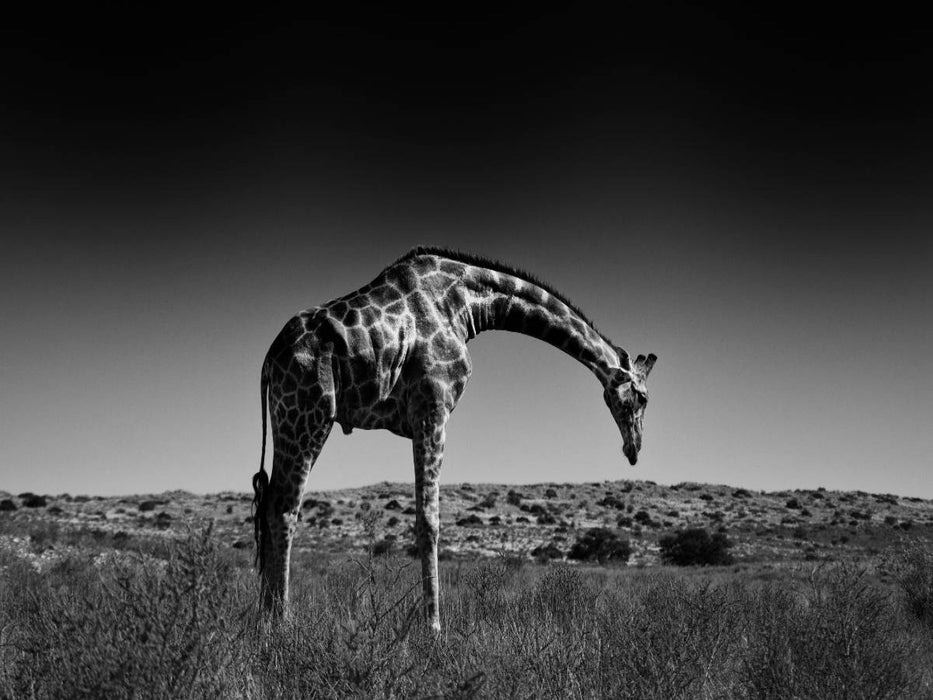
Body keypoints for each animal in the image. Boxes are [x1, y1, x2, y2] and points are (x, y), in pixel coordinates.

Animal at [252, 246, 657, 631]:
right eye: (642, 397)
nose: (634, 449)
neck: (467, 305)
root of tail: (269, 359)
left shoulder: (424, 415)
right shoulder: (433, 408)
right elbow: (429, 521)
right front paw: (433, 627)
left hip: (286, 419)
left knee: (268, 501)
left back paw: (265, 620)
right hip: (309, 415)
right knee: (285, 508)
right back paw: (283, 622)